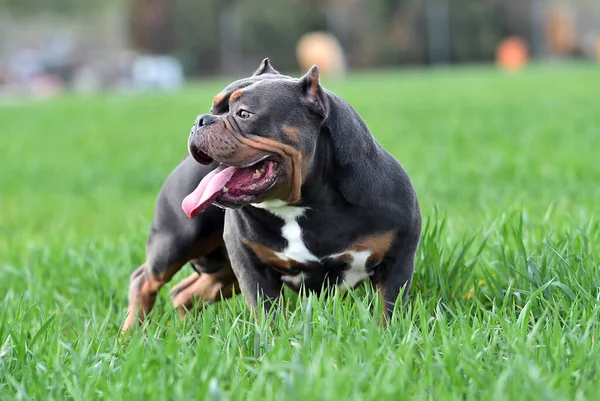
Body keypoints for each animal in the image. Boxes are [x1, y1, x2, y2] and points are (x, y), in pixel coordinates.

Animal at [122, 57, 420, 332]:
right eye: (213, 108)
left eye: (244, 114)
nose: (201, 120)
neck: (307, 203)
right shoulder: (251, 266)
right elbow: (267, 313)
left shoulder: (396, 261)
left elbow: (388, 309)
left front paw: (385, 336)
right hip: (177, 240)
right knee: (144, 280)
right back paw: (131, 334)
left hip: (222, 272)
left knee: (184, 292)